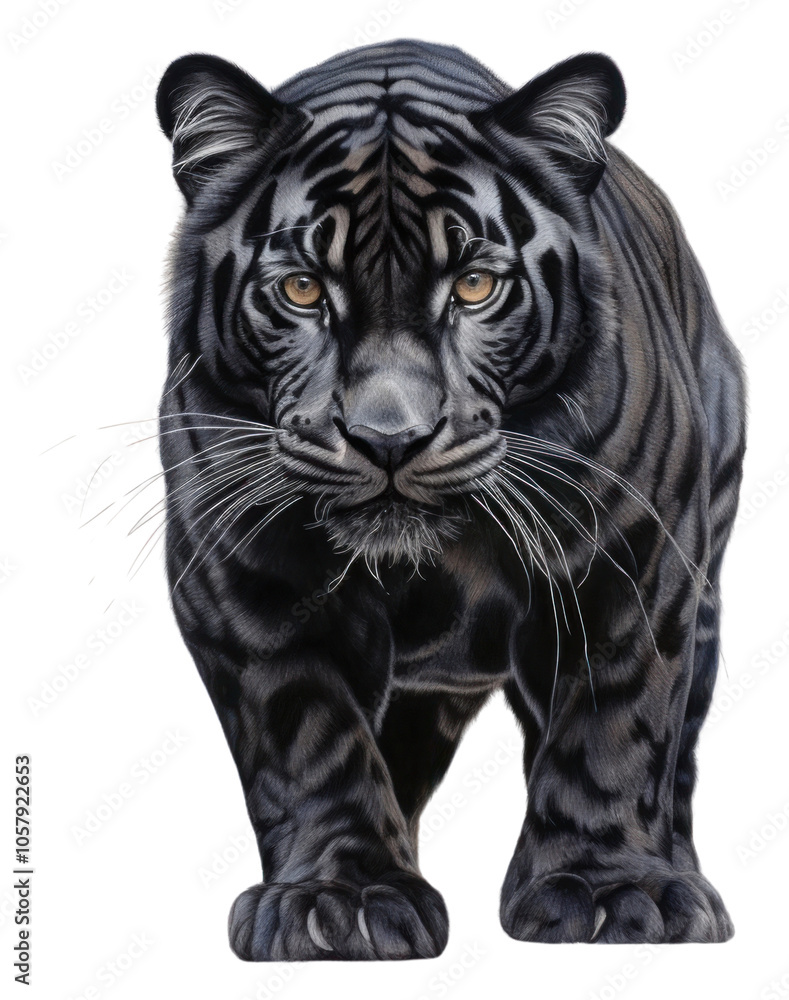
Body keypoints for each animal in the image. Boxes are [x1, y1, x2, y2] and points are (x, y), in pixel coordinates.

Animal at [155, 40, 746, 958]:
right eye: (301, 290)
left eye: (473, 286)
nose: (388, 438)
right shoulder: (244, 582)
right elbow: (307, 736)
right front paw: (341, 897)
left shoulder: (633, 559)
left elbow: (612, 723)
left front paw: (606, 889)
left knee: (674, 752)